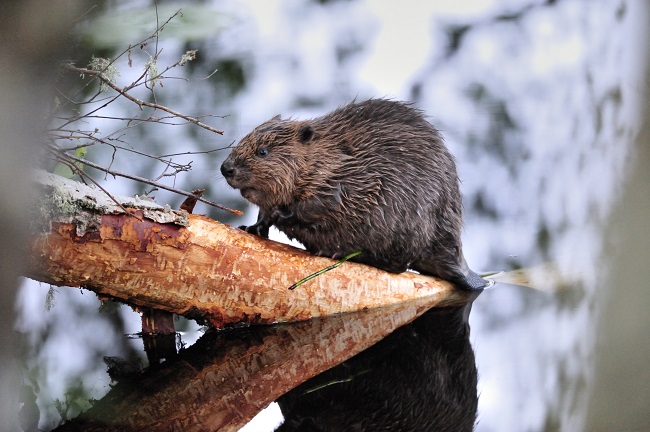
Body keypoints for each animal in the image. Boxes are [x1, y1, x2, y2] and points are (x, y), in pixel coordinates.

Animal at [220, 98, 484, 290]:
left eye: (263, 152)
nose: (226, 168)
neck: (331, 157)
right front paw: (253, 227)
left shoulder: (355, 179)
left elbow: (325, 204)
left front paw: (281, 215)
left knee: (397, 264)